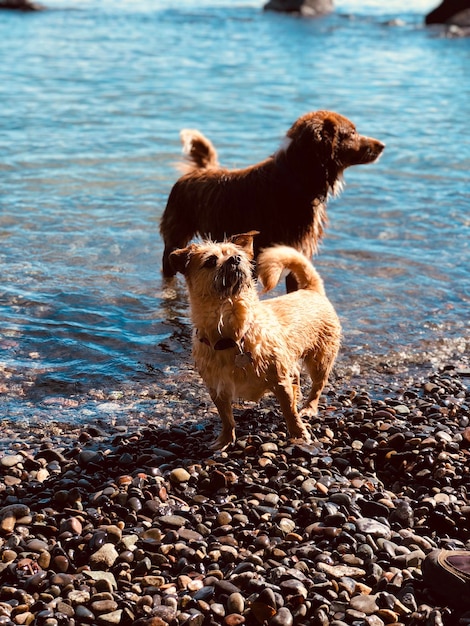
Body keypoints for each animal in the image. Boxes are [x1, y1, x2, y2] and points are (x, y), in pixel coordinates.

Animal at [171, 229, 340, 448]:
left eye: (238, 255)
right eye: (210, 261)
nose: (235, 259)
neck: (233, 332)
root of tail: (311, 290)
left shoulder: (280, 381)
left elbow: (289, 411)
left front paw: (299, 434)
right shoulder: (217, 389)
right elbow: (226, 418)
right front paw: (225, 440)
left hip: (320, 359)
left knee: (317, 387)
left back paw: (309, 408)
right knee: (296, 375)